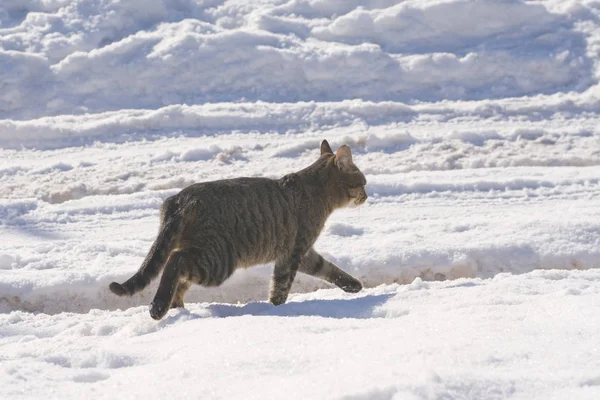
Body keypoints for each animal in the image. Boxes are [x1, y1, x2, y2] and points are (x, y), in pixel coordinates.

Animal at [110, 139, 368, 320]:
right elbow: (280, 286)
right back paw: (159, 307)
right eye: (363, 183)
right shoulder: (294, 252)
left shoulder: (303, 254)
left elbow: (329, 269)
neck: (315, 189)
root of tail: (180, 199)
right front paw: (276, 310)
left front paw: (353, 285)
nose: (367, 195)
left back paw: (177, 308)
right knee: (175, 261)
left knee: (178, 272)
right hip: (217, 260)